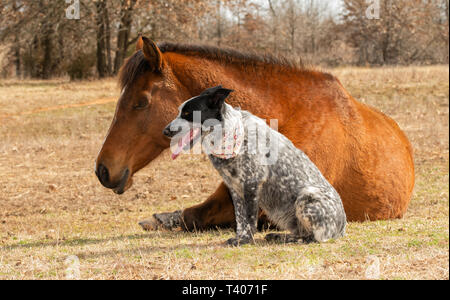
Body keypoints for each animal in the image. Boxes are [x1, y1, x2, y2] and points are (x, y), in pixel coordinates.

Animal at [163, 85, 346, 245]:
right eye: (180, 111)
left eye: (188, 113)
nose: (165, 131)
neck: (230, 134)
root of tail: (342, 227)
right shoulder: (234, 188)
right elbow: (240, 219)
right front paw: (240, 238)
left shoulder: (251, 183)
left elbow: (250, 219)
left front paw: (245, 241)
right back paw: (279, 236)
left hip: (306, 196)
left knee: (314, 237)